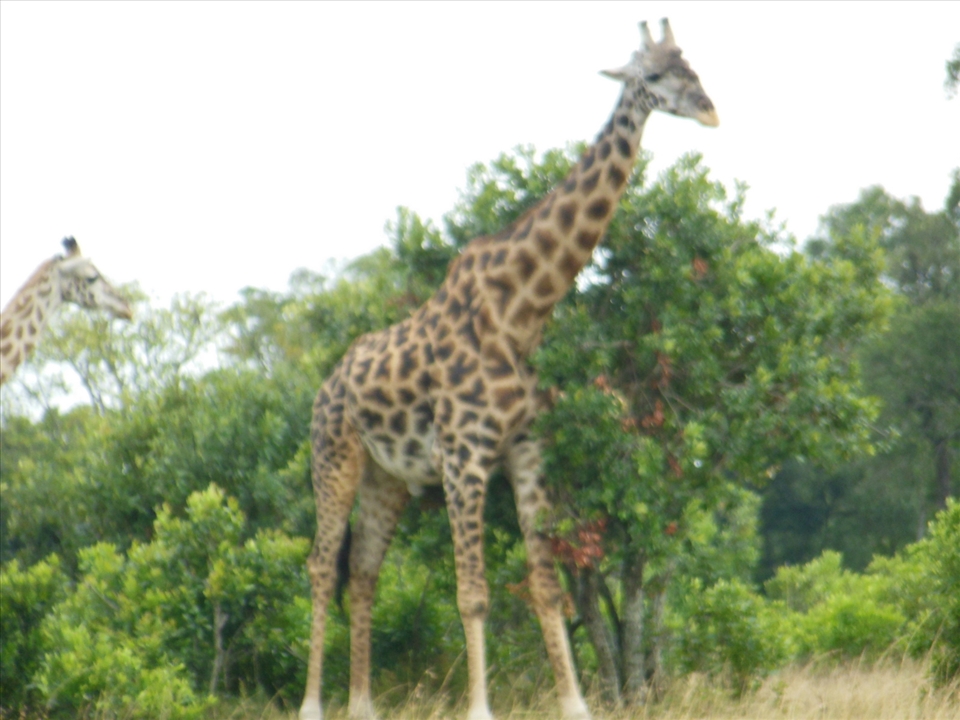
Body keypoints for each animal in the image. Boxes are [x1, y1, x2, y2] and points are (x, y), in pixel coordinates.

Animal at [300, 20, 718, 720]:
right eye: (655, 76)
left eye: (693, 66)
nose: (711, 110)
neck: (522, 313)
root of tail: (326, 385)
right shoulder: (464, 457)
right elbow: (473, 595)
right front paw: (479, 709)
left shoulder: (527, 452)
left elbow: (547, 588)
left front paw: (575, 704)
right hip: (333, 458)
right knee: (321, 565)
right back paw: (312, 706)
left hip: (388, 478)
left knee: (362, 574)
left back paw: (362, 706)